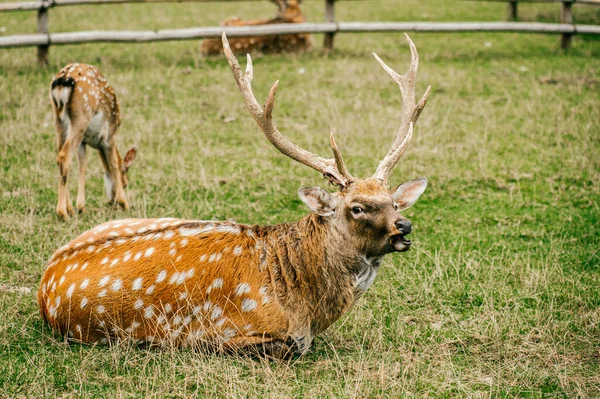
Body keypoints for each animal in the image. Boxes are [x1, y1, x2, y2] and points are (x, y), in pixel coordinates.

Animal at [49, 63, 138, 220]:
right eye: (125, 183)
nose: (112, 202)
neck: (98, 144)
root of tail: (62, 81)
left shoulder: (83, 142)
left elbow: (83, 165)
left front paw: (81, 207)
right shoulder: (109, 136)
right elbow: (114, 163)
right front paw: (124, 203)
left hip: (59, 121)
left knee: (60, 156)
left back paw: (69, 210)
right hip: (81, 115)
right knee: (64, 156)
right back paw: (62, 213)